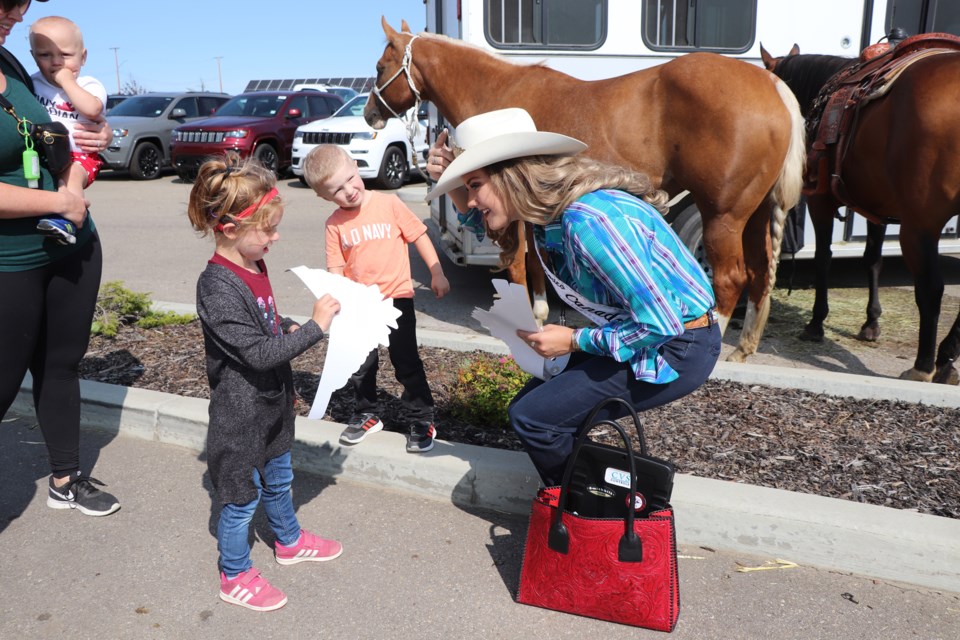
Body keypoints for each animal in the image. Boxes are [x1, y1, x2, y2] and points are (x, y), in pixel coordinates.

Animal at [364, 17, 808, 362]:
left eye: (380, 65)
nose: (369, 114)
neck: (499, 94)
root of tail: (771, 84)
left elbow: (518, 262)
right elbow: (535, 262)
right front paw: (541, 311)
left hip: (722, 213)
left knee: (730, 277)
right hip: (754, 214)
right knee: (759, 273)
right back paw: (743, 349)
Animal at [764, 41, 960, 384]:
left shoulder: (821, 202)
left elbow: (823, 258)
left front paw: (816, 323)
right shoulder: (876, 207)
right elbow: (872, 260)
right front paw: (871, 323)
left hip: (918, 226)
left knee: (931, 288)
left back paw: (923, 366)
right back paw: (946, 359)